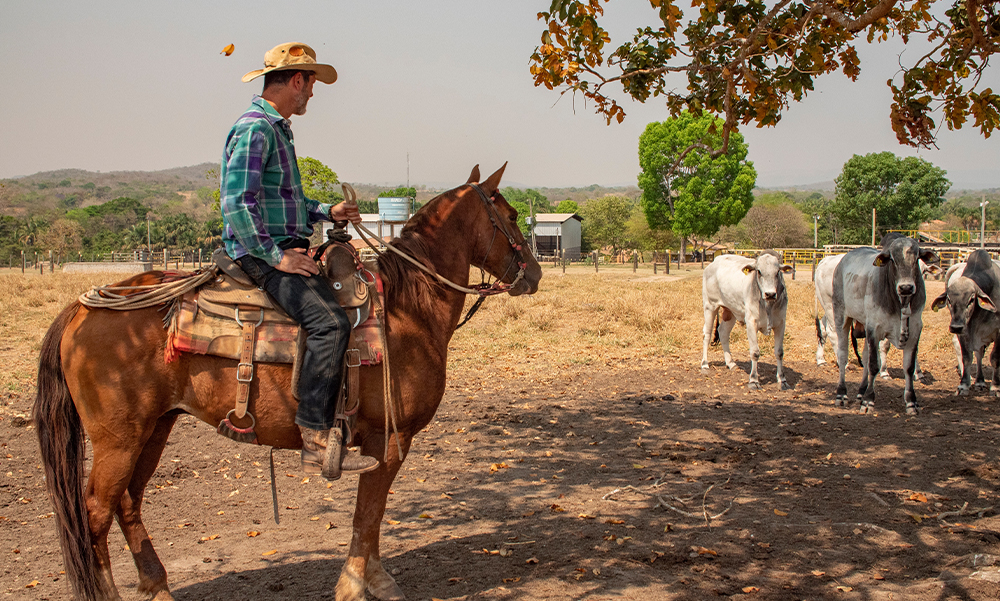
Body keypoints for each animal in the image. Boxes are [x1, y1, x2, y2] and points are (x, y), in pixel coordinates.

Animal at [35, 164, 544, 600]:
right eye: (511, 216)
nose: (535, 273)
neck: (407, 310)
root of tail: (81, 309)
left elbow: (371, 518)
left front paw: (375, 580)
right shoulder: (388, 440)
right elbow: (368, 515)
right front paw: (356, 584)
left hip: (154, 428)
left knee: (128, 503)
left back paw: (157, 586)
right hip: (119, 437)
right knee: (95, 513)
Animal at [704, 252, 788, 390]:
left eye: (777, 272)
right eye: (759, 271)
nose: (770, 294)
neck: (768, 305)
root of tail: (714, 262)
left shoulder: (781, 323)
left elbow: (779, 352)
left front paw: (782, 380)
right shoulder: (751, 323)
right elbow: (755, 352)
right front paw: (754, 381)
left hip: (730, 311)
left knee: (723, 332)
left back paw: (731, 363)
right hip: (710, 306)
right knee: (707, 334)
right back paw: (704, 364)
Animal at [828, 234, 936, 412]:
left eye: (916, 258)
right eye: (892, 259)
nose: (906, 287)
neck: (900, 303)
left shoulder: (915, 330)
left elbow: (909, 367)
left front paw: (911, 402)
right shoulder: (874, 329)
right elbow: (873, 365)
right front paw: (868, 401)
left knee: (864, 357)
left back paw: (861, 392)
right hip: (841, 316)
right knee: (843, 355)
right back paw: (842, 394)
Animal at [928, 248, 1000, 394]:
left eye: (971, 299)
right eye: (949, 300)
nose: (955, 327)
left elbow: (995, 358)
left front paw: (995, 386)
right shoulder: (965, 331)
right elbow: (967, 357)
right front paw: (964, 384)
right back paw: (977, 380)